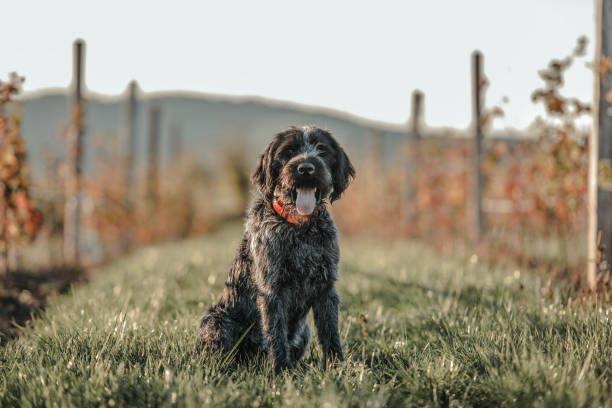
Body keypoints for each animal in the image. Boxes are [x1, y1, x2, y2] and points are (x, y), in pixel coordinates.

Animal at [198, 126, 356, 372]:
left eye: (322, 149)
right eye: (289, 151)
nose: (306, 168)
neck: (301, 229)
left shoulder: (326, 287)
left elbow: (331, 333)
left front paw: (335, 367)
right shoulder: (273, 290)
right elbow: (275, 333)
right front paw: (281, 370)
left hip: (303, 331)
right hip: (215, 322)